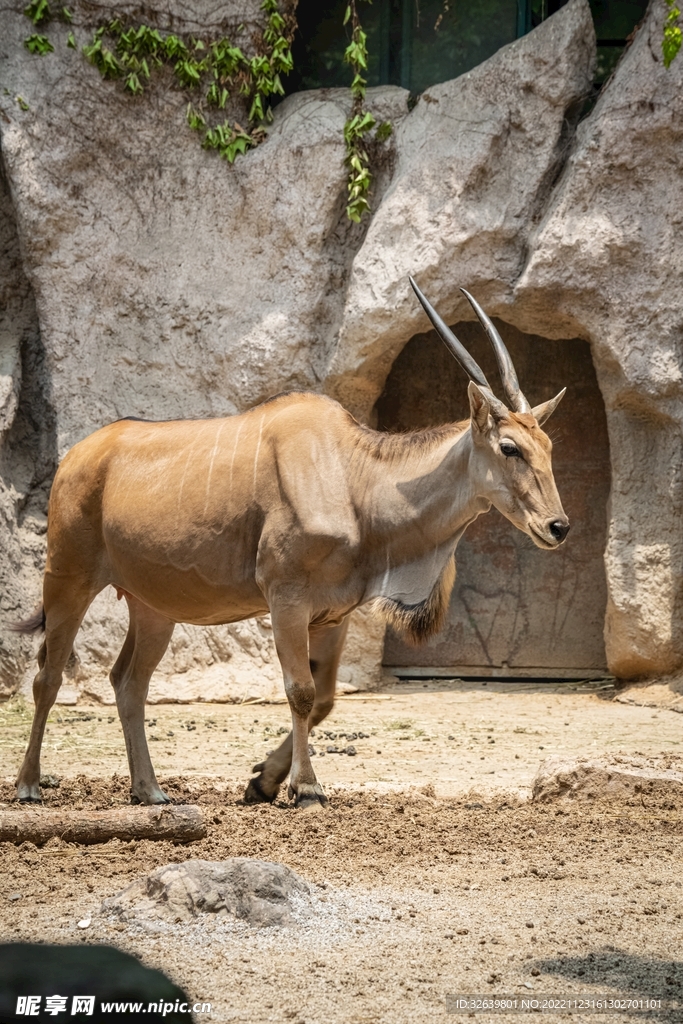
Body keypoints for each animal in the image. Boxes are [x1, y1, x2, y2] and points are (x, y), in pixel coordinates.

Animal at [13, 280, 569, 806]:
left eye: (548, 444)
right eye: (509, 447)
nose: (558, 526)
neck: (352, 474)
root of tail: (78, 456)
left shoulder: (333, 615)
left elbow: (323, 698)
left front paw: (263, 781)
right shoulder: (286, 601)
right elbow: (300, 691)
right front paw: (306, 789)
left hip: (153, 608)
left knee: (129, 683)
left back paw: (149, 790)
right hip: (68, 580)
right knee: (48, 677)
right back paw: (29, 784)